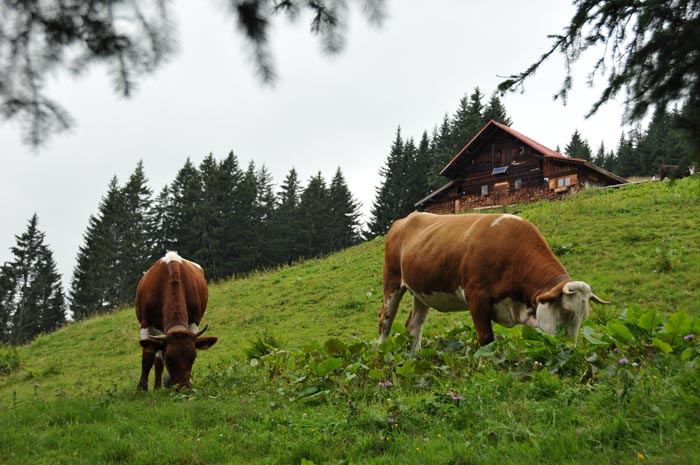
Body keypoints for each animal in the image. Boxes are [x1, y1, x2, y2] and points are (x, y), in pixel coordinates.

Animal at [136, 251, 217, 390]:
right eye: (169, 359)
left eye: (193, 357)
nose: (184, 388)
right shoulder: (146, 323)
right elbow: (147, 358)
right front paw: (142, 388)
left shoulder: (194, 321)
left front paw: (168, 381)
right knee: (156, 357)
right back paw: (157, 387)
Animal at [378, 212, 610, 350]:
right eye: (567, 312)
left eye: (584, 316)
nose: (569, 349)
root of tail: (407, 218)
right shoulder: (476, 299)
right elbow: (486, 340)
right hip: (392, 281)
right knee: (385, 321)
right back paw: (381, 354)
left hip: (421, 292)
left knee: (414, 326)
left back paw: (415, 356)